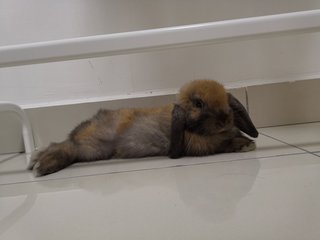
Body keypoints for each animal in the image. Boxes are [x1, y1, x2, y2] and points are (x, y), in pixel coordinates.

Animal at [30, 79, 258, 175]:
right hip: (91, 148)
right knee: (65, 147)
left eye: (226, 101)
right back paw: (41, 167)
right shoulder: (203, 146)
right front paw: (245, 144)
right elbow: (224, 144)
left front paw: (248, 142)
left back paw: (36, 162)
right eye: (198, 104)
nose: (225, 119)